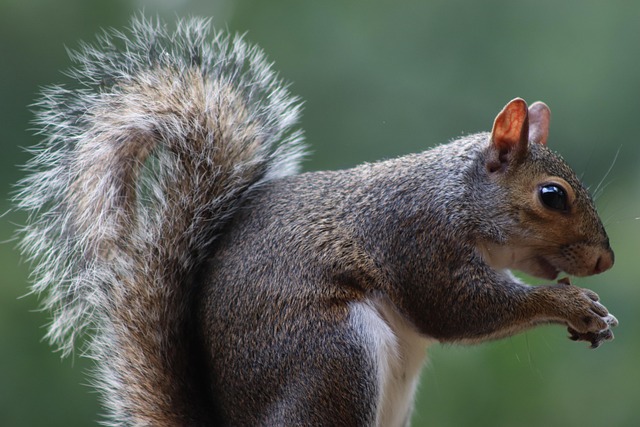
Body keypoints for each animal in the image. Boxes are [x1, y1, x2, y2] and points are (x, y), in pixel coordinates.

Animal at [15, 15, 618, 427]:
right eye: (552, 196)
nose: (606, 259)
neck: (455, 196)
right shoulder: (418, 238)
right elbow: (457, 308)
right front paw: (570, 304)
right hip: (331, 358)